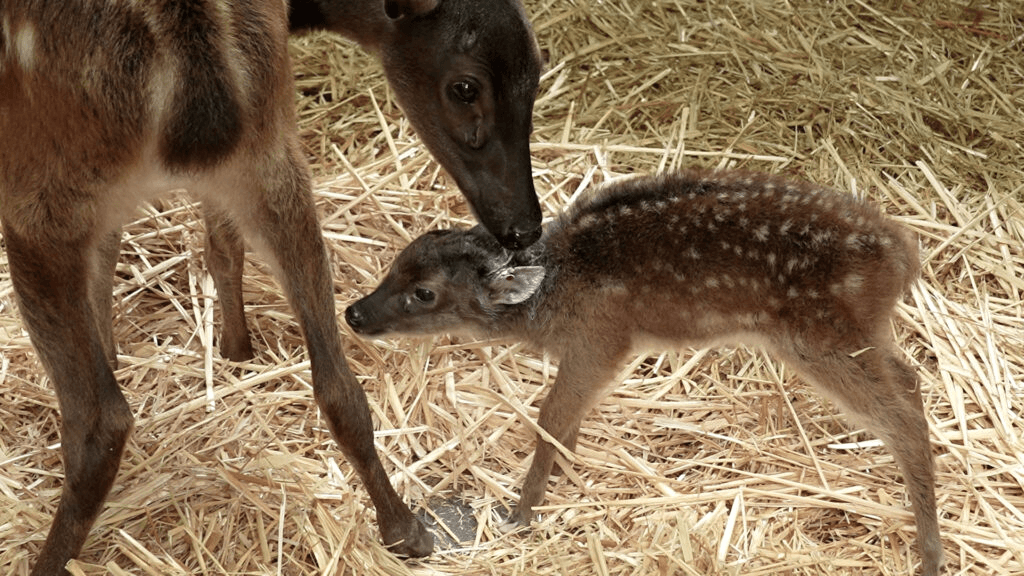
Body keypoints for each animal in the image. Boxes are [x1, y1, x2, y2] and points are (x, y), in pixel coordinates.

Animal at [0, 0, 544, 573]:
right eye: (465, 88)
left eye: (536, 73)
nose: (524, 227)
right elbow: (216, 245)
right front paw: (235, 350)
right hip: (272, 163)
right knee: (339, 384)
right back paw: (406, 530)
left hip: (44, 198)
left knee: (99, 420)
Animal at [346, 169, 944, 576]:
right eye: (398, 262)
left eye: (424, 293)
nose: (354, 313)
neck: (554, 293)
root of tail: (903, 256)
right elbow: (567, 418)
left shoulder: (602, 337)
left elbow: (551, 415)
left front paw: (522, 512)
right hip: (860, 332)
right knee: (911, 379)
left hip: (818, 336)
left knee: (901, 417)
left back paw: (930, 553)